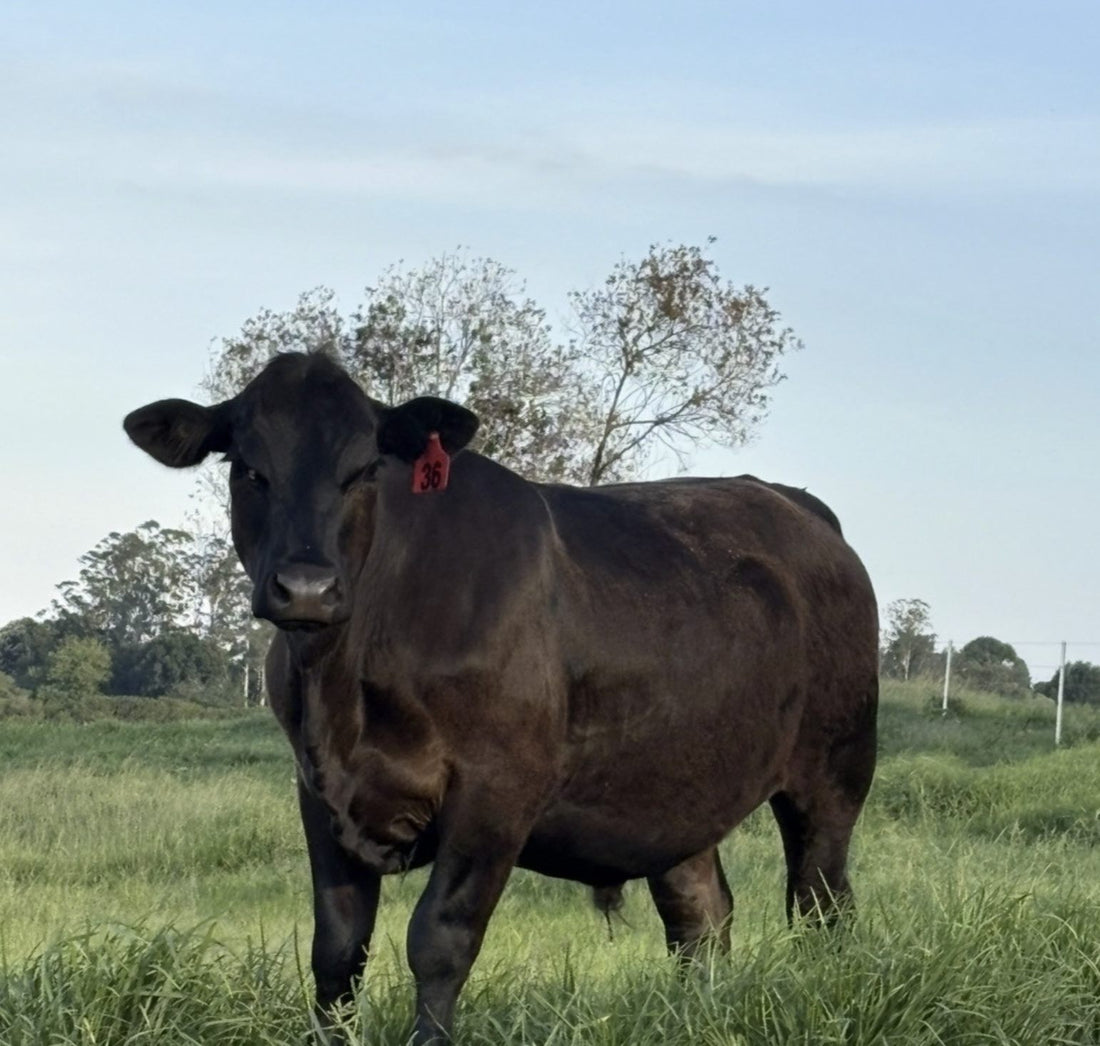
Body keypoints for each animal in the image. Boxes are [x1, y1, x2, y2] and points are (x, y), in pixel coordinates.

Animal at [124, 351, 878, 1044]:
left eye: (365, 470)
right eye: (248, 469)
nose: (306, 587)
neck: (348, 680)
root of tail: (795, 503)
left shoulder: (496, 790)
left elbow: (439, 941)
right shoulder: (318, 789)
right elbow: (337, 952)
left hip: (835, 771)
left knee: (820, 902)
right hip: (674, 789)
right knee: (701, 916)